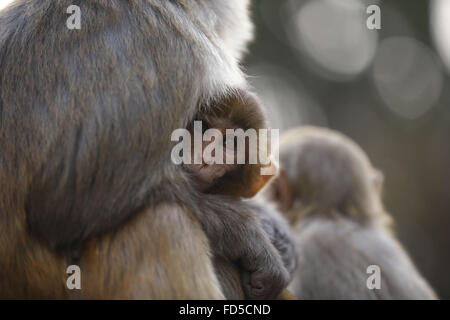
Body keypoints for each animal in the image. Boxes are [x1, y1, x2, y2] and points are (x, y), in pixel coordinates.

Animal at [0, 0, 290, 300]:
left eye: (229, 144)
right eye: (206, 130)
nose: (208, 152)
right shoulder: (173, 50)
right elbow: (62, 203)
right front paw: (245, 230)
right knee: (165, 220)